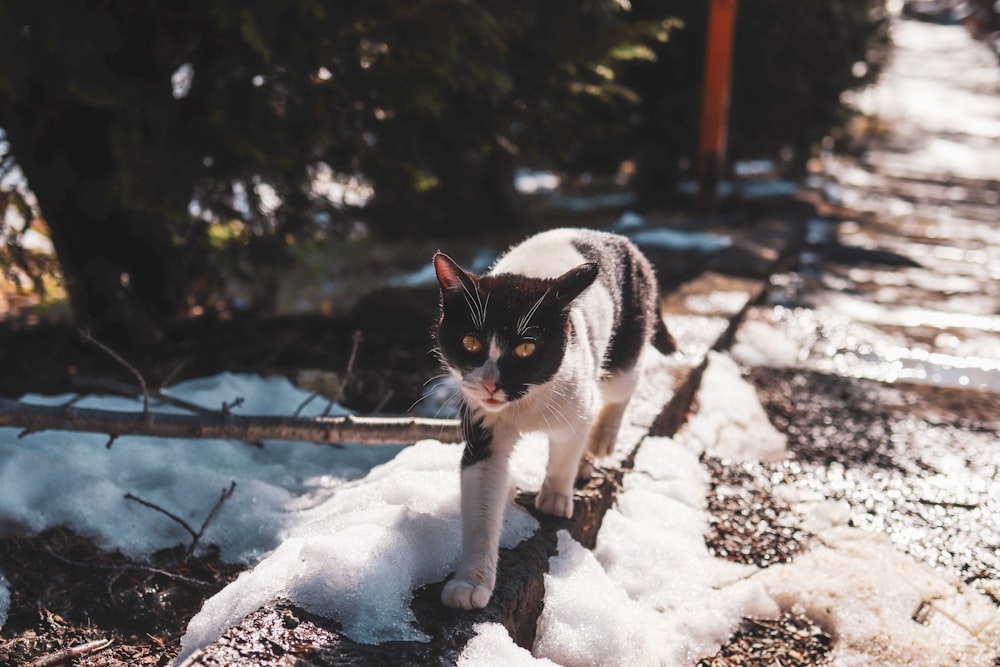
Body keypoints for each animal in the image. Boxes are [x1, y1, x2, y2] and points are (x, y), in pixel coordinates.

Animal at [434, 228, 676, 612]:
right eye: (470, 342)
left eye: (525, 348)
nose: (490, 383)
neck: (524, 403)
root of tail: (621, 240)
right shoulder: (482, 428)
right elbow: (481, 507)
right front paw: (470, 583)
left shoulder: (579, 403)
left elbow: (567, 450)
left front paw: (556, 497)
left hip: (622, 354)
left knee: (623, 387)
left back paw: (600, 442)